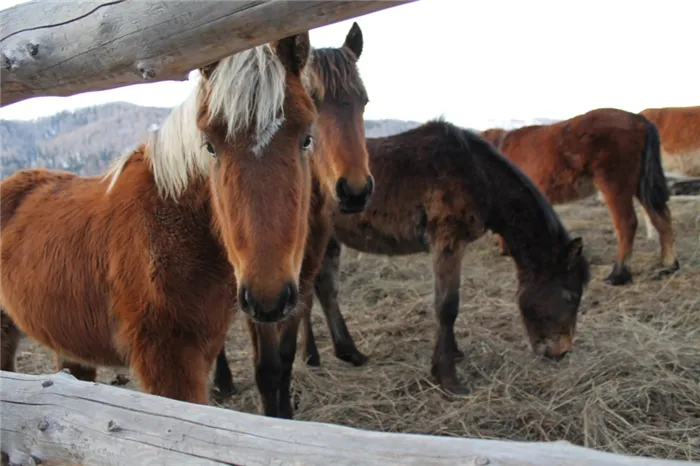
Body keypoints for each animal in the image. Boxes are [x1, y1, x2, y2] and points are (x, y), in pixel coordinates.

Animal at [211, 20, 374, 418]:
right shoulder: (256, 287)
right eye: (313, 100)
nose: (355, 191)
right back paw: (222, 381)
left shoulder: (302, 273)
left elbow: (284, 356)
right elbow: (267, 367)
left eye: (363, 101)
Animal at [213, 118, 592, 396]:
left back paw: (339, 352)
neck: (477, 172)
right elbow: (447, 305)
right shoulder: (447, 239)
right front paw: (447, 377)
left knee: (320, 291)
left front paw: (453, 354)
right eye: (570, 296)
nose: (561, 352)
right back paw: (223, 382)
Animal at [482, 107, 680, 286]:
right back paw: (668, 265)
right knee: (661, 218)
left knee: (627, 224)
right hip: (640, 185)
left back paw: (619, 274)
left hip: (614, 185)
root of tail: (638, 119)